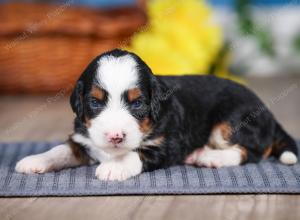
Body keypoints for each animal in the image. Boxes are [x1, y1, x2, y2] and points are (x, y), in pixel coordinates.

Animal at [15, 48, 298, 180]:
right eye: (95, 102)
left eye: (137, 103)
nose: (116, 137)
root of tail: (268, 112)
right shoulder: (83, 139)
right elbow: (60, 150)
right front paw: (34, 160)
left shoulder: (167, 144)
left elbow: (135, 153)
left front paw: (113, 167)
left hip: (232, 121)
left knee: (252, 151)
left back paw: (209, 157)